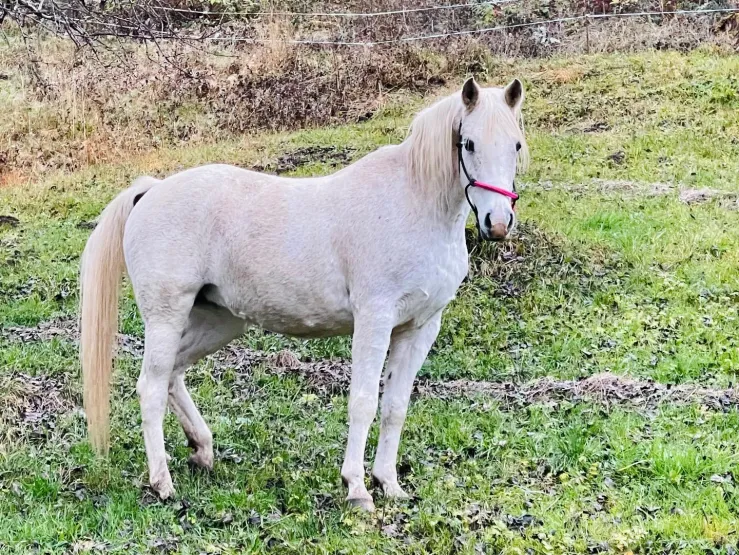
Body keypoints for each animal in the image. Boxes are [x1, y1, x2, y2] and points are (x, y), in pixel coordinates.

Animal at [80, 77, 528, 511]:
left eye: (516, 145)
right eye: (468, 144)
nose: (497, 223)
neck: (414, 204)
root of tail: (151, 191)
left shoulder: (419, 328)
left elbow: (395, 407)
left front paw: (389, 484)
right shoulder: (374, 321)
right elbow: (363, 402)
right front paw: (357, 488)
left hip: (219, 321)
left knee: (173, 373)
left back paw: (202, 450)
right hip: (167, 316)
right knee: (152, 386)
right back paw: (163, 483)